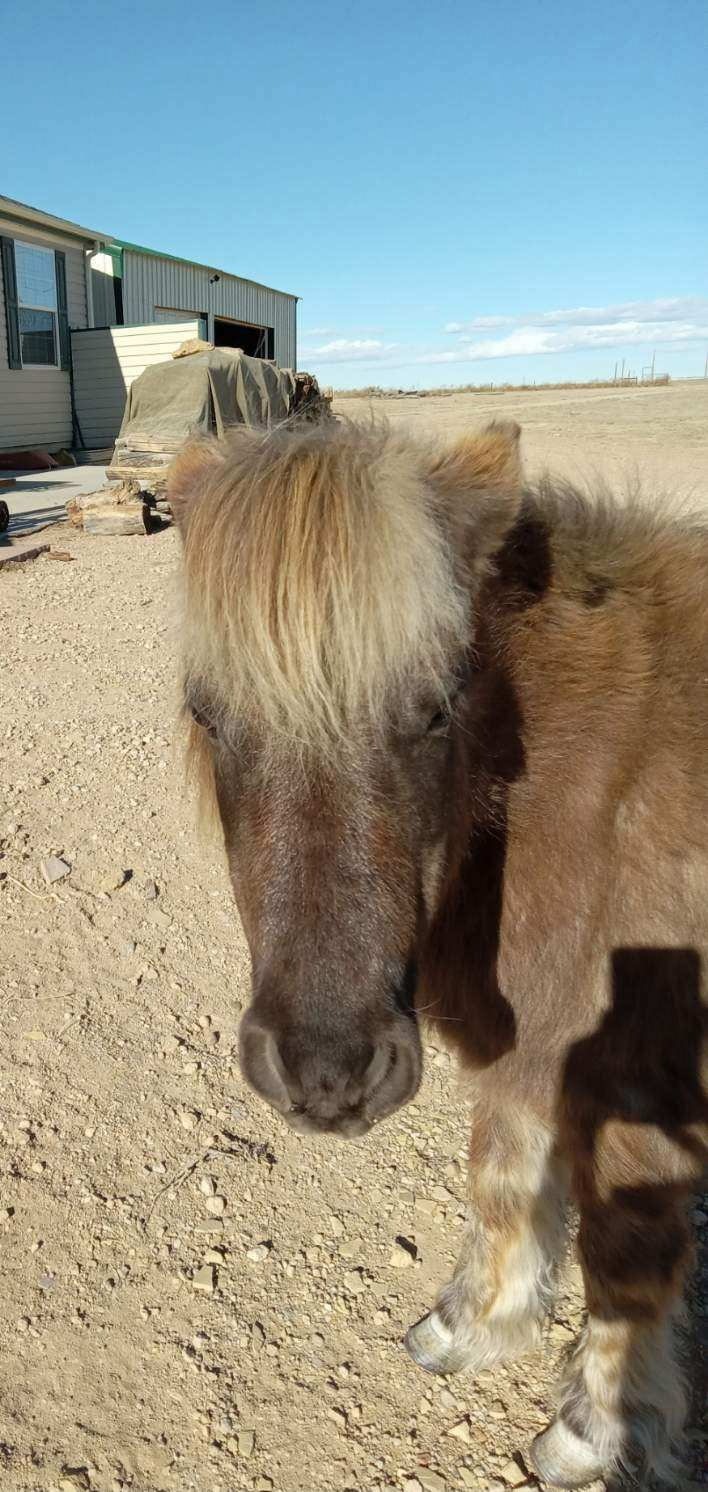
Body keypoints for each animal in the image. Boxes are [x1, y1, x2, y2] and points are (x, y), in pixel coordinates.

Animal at [170, 418, 708, 1488]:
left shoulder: (644, 1078)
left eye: (435, 708)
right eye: (207, 712)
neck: (596, 798)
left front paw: (592, 1433)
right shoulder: (535, 1042)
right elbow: (502, 1179)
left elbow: (627, 1255)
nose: (329, 1073)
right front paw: (470, 1327)